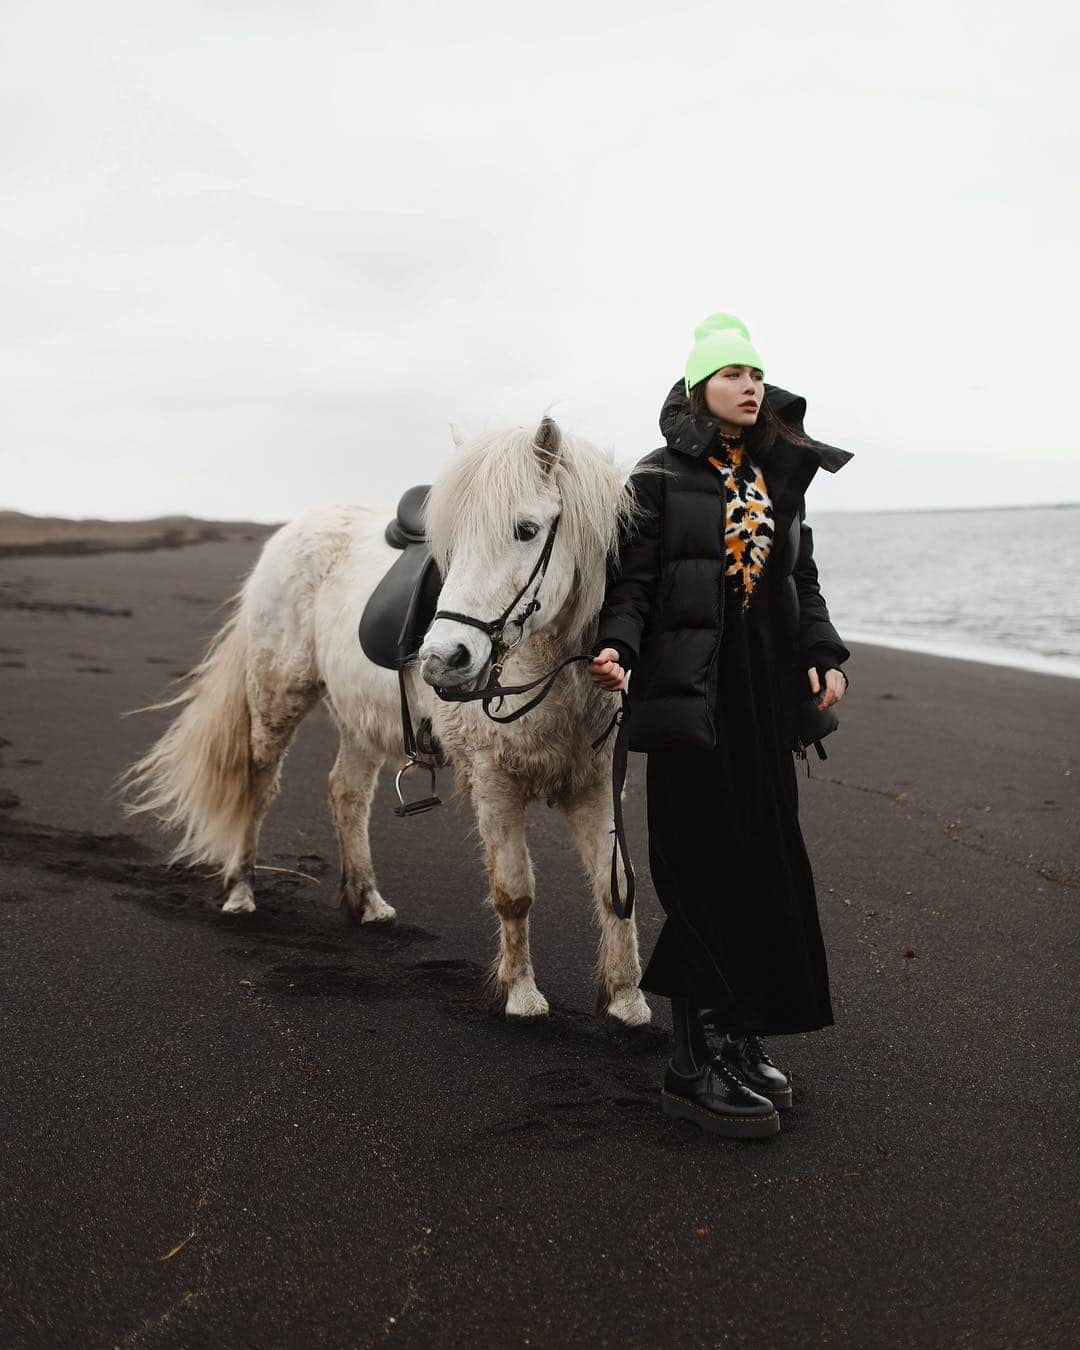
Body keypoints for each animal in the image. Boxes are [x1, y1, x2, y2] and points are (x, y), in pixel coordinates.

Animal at [123, 415, 653, 1015]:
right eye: (452, 541)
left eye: (526, 529)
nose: (442, 659)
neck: (552, 671)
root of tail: (292, 529)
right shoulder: (493, 782)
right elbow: (514, 890)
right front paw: (521, 994)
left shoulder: (597, 784)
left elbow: (616, 887)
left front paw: (628, 1000)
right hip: (278, 696)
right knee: (258, 784)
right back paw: (240, 890)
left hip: (362, 721)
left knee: (346, 793)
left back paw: (367, 900)